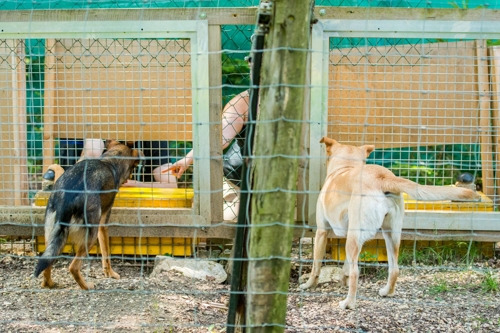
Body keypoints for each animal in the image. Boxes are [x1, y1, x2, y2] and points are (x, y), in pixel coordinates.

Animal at [35, 139, 141, 290]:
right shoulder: (103, 224)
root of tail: (66, 196)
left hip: (52, 235)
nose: (130, 179)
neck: (109, 160)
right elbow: (106, 254)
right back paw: (87, 286)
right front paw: (111, 273)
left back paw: (48, 283)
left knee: (47, 263)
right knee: (73, 267)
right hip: (90, 237)